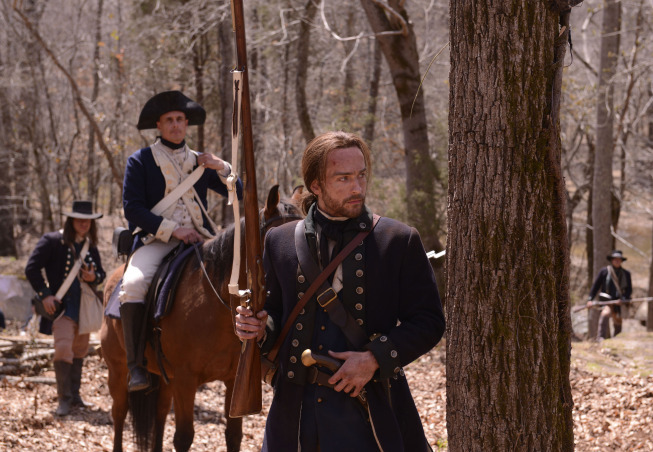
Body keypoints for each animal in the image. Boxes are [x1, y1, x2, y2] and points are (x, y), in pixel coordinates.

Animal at [100, 185, 304, 450]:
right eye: (277, 242)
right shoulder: (185, 381)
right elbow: (184, 437)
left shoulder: (232, 381)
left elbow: (233, 435)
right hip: (118, 369)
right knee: (119, 413)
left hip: (164, 378)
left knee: (160, 413)